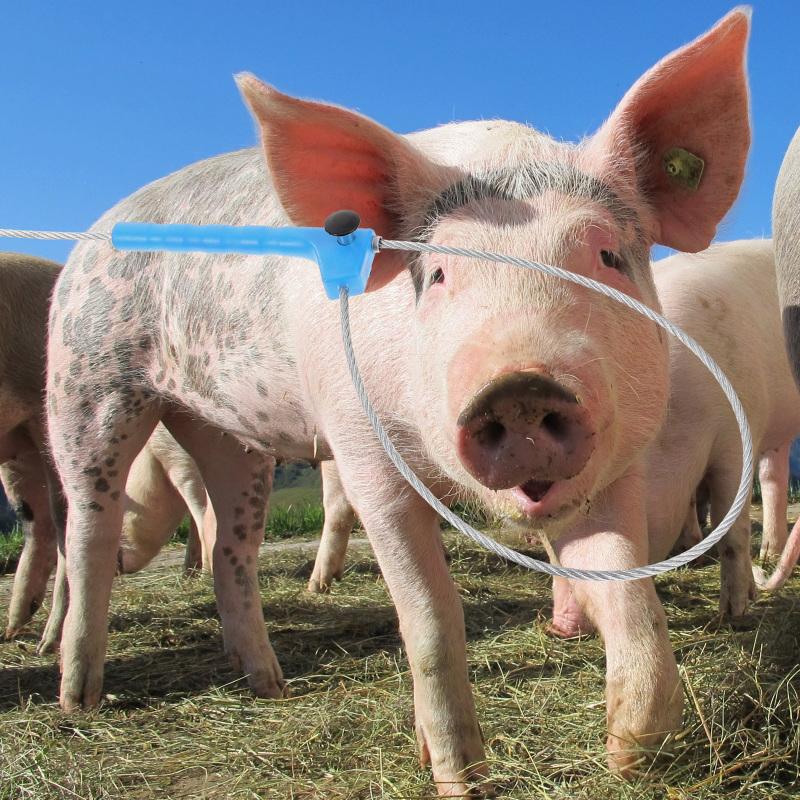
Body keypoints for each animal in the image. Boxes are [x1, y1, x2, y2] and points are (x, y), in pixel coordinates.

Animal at [46, 11, 750, 793]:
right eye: (438, 273)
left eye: (606, 257)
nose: (521, 386)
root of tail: (96, 232)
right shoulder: (360, 449)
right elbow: (432, 620)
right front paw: (461, 780)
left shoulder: (619, 462)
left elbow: (631, 597)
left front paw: (631, 756)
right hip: (87, 374)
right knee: (90, 529)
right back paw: (79, 700)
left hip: (227, 435)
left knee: (232, 545)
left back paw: (269, 685)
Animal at [551, 240, 800, 638]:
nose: (558, 626)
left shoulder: (736, 439)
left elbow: (732, 527)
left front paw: (734, 614)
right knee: (774, 473)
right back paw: (767, 558)